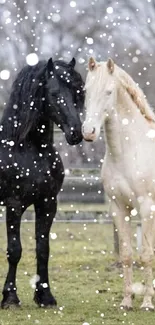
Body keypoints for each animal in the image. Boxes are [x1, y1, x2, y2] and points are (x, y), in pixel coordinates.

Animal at [0, 56, 84, 306]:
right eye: (54, 94)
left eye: (77, 93)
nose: (76, 133)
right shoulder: (14, 204)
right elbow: (14, 250)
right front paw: (10, 297)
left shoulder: (47, 203)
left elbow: (43, 248)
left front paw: (45, 295)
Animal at [82, 57, 155, 310]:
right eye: (85, 91)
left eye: (109, 91)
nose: (89, 132)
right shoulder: (118, 207)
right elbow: (126, 254)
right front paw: (126, 301)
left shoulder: (147, 208)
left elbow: (146, 255)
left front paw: (147, 303)